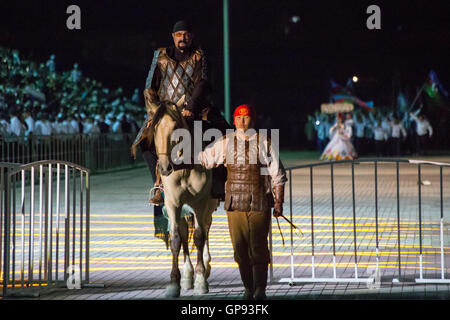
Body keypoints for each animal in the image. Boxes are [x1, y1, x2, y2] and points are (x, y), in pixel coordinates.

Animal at [149, 99, 220, 298]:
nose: (165, 168)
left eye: (175, 128)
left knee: (205, 228)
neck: (184, 167)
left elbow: (199, 236)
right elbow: (176, 239)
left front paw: (201, 279)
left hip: (208, 206)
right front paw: (174, 283)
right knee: (183, 231)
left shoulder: (200, 202)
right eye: (154, 127)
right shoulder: (173, 204)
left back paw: (205, 266)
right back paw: (188, 275)